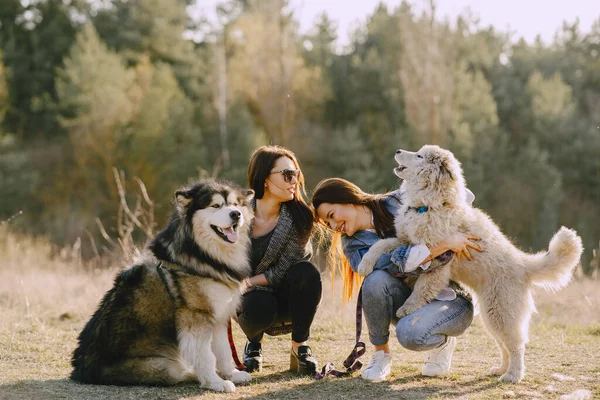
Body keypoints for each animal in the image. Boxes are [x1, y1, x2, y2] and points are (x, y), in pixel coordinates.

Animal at [72, 180, 253, 392]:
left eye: (235, 204)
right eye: (215, 205)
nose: (236, 214)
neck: (203, 254)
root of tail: (81, 370)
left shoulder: (219, 316)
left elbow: (223, 351)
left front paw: (232, 374)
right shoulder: (196, 316)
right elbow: (206, 356)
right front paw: (215, 382)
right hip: (165, 365)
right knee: (178, 372)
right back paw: (193, 374)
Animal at [358, 145, 584, 382]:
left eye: (419, 155)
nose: (397, 150)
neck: (428, 205)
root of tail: (523, 265)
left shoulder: (438, 260)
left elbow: (422, 288)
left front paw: (407, 308)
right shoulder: (406, 242)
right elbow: (381, 244)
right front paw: (365, 264)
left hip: (501, 312)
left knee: (516, 345)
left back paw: (512, 375)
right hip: (490, 314)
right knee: (503, 345)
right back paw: (500, 369)